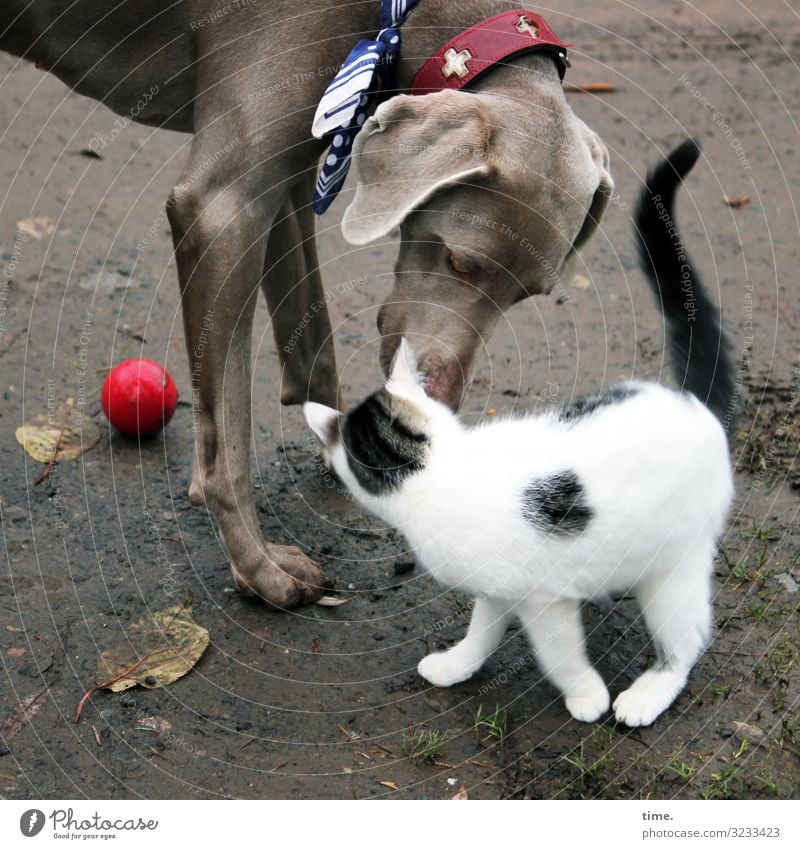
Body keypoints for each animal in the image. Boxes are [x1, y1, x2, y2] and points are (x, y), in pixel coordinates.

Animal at [1, 0, 612, 608]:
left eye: (526, 295)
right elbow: (229, 435)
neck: (399, 15)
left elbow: (314, 341)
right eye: (460, 262)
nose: (440, 395)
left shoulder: (290, 182)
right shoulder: (221, 211)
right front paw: (259, 566)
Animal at [304, 142, 736, 724]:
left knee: (686, 642)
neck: (440, 465)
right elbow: (481, 632)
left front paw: (586, 696)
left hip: (674, 569)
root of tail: (694, 405)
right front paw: (456, 664)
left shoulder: (543, 599)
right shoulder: (498, 589)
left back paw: (648, 694)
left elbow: (559, 655)